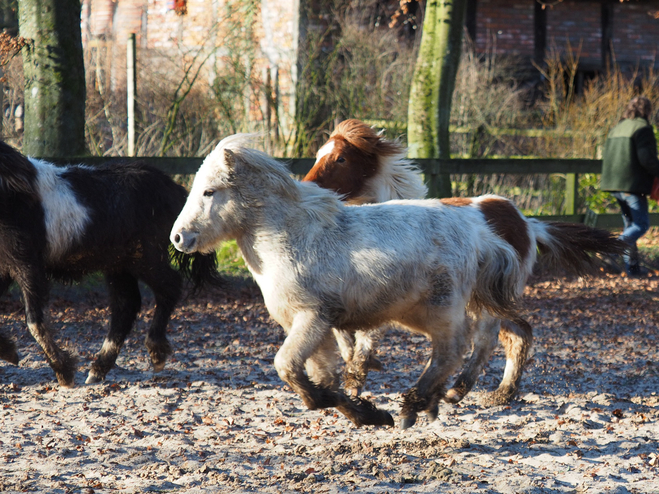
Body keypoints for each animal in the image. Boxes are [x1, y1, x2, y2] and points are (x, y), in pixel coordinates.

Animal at [0, 141, 222, 388]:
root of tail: (174, 189)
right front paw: (9, 351)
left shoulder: (27, 265)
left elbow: (34, 321)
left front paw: (64, 373)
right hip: (119, 265)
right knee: (127, 305)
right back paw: (98, 370)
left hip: (144, 258)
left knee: (168, 287)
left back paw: (156, 354)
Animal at [173, 133, 528, 426]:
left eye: (209, 191)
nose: (178, 238)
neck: (290, 238)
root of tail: (480, 233)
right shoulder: (311, 328)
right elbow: (321, 379)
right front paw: (365, 413)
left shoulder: (312, 317)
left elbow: (287, 366)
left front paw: (370, 412)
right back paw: (432, 402)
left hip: (438, 310)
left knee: (452, 350)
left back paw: (415, 405)